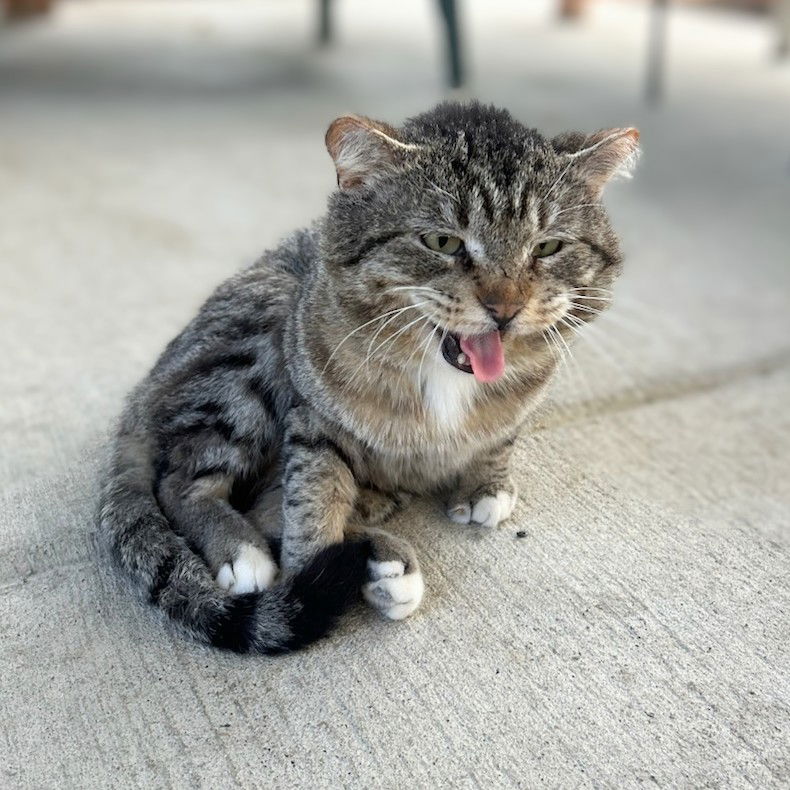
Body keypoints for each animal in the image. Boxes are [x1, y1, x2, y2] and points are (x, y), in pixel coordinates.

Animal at [100, 99, 644, 656]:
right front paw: (310, 576)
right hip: (257, 337)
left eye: (548, 247)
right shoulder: (312, 423)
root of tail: (142, 396)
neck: (442, 379)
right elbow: (311, 505)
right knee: (186, 483)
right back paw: (253, 552)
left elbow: (502, 436)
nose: (505, 309)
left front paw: (486, 484)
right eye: (442, 241)